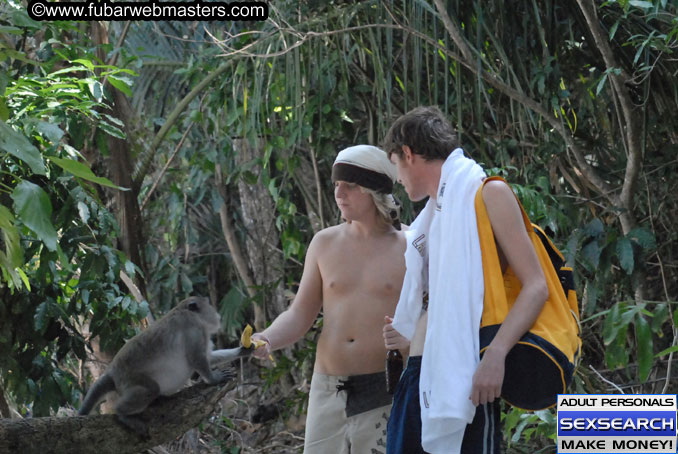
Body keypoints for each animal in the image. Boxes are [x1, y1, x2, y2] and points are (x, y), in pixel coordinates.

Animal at [78, 294, 251, 436]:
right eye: (208, 305)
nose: (217, 314)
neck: (185, 311)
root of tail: (112, 371)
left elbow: (209, 357)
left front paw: (243, 350)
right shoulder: (193, 328)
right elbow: (197, 359)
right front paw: (214, 379)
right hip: (129, 379)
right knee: (151, 389)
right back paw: (123, 414)